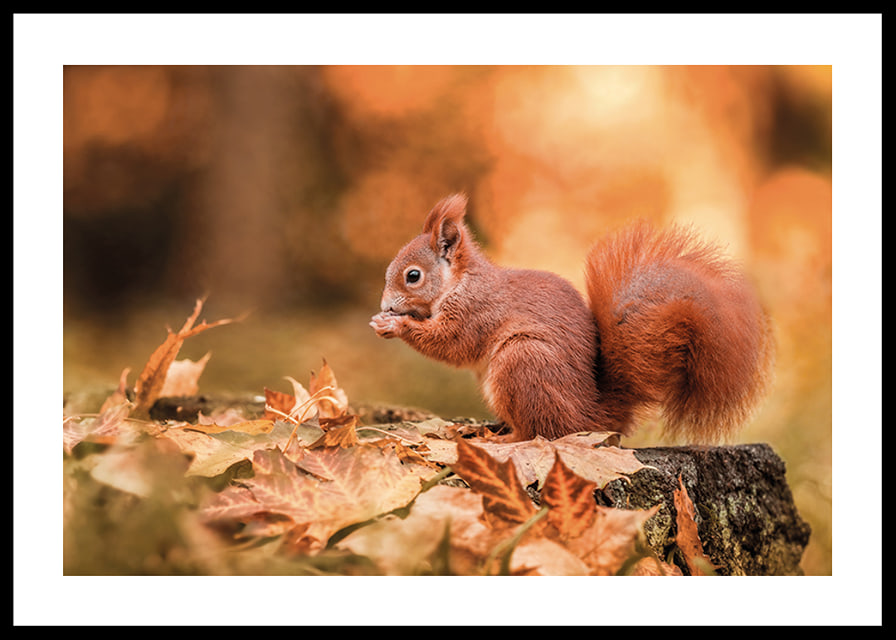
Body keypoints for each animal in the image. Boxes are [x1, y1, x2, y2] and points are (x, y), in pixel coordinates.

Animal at [369, 193, 775, 443]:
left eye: (412, 276)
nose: (386, 305)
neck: (459, 282)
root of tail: (591, 417)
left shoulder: (476, 311)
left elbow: (451, 344)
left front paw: (395, 325)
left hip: (522, 362)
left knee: (540, 433)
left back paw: (501, 439)